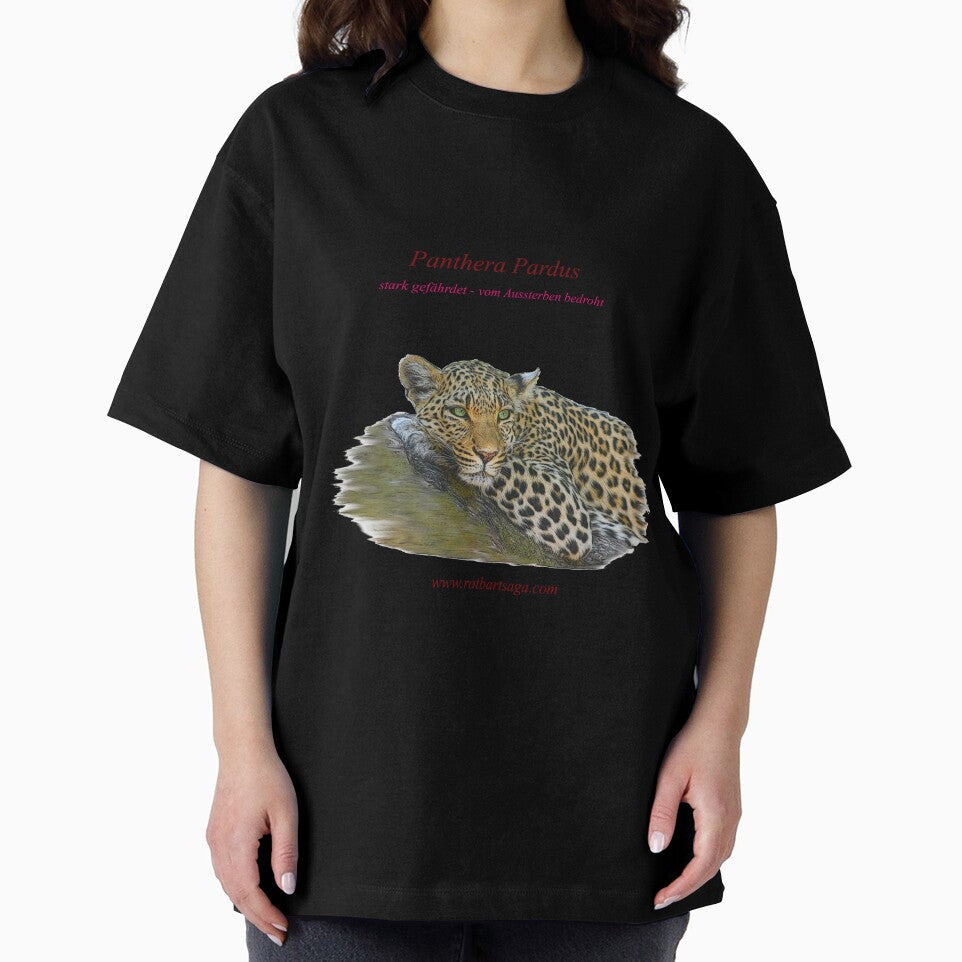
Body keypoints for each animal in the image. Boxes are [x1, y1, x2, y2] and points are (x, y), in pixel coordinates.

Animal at [395, 355, 649, 562]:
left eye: (503, 415)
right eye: (459, 412)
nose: (487, 454)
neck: (526, 419)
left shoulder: (568, 506)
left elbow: (507, 466)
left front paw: (421, 434)